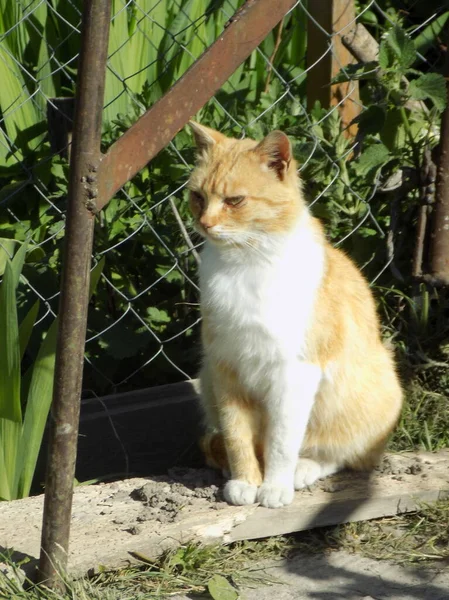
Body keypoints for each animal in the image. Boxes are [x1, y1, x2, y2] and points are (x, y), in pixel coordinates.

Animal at [187, 123, 404, 510]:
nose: (205, 223)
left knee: (345, 455)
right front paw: (245, 481)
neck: (246, 264)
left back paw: (303, 469)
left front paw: (274, 486)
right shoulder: (226, 369)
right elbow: (236, 435)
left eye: (235, 201)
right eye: (197, 196)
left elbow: (281, 441)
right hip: (207, 379)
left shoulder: (295, 374)